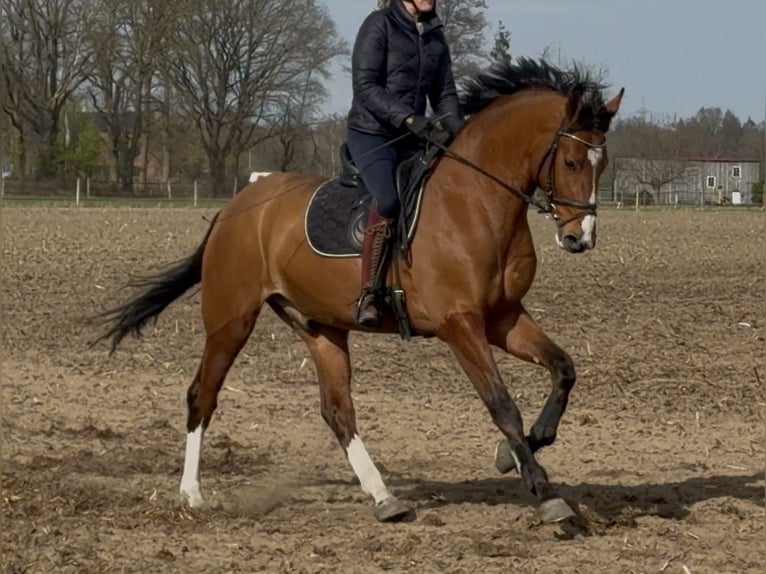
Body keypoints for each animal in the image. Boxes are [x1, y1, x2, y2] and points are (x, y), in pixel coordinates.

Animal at [97, 58, 624, 524]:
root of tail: (234, 208)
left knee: (337, 411)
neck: (476, 201)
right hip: (232, 320)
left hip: (320, 327)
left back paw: (384, 498)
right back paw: (192, 495)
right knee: (201, 395)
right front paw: (543, 492)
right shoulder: (460, 324)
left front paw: (520, 450)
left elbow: (564, 370)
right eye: (571, 161)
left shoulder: (503, 317)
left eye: (602, 166)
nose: (580, 238)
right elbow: (502, 404)